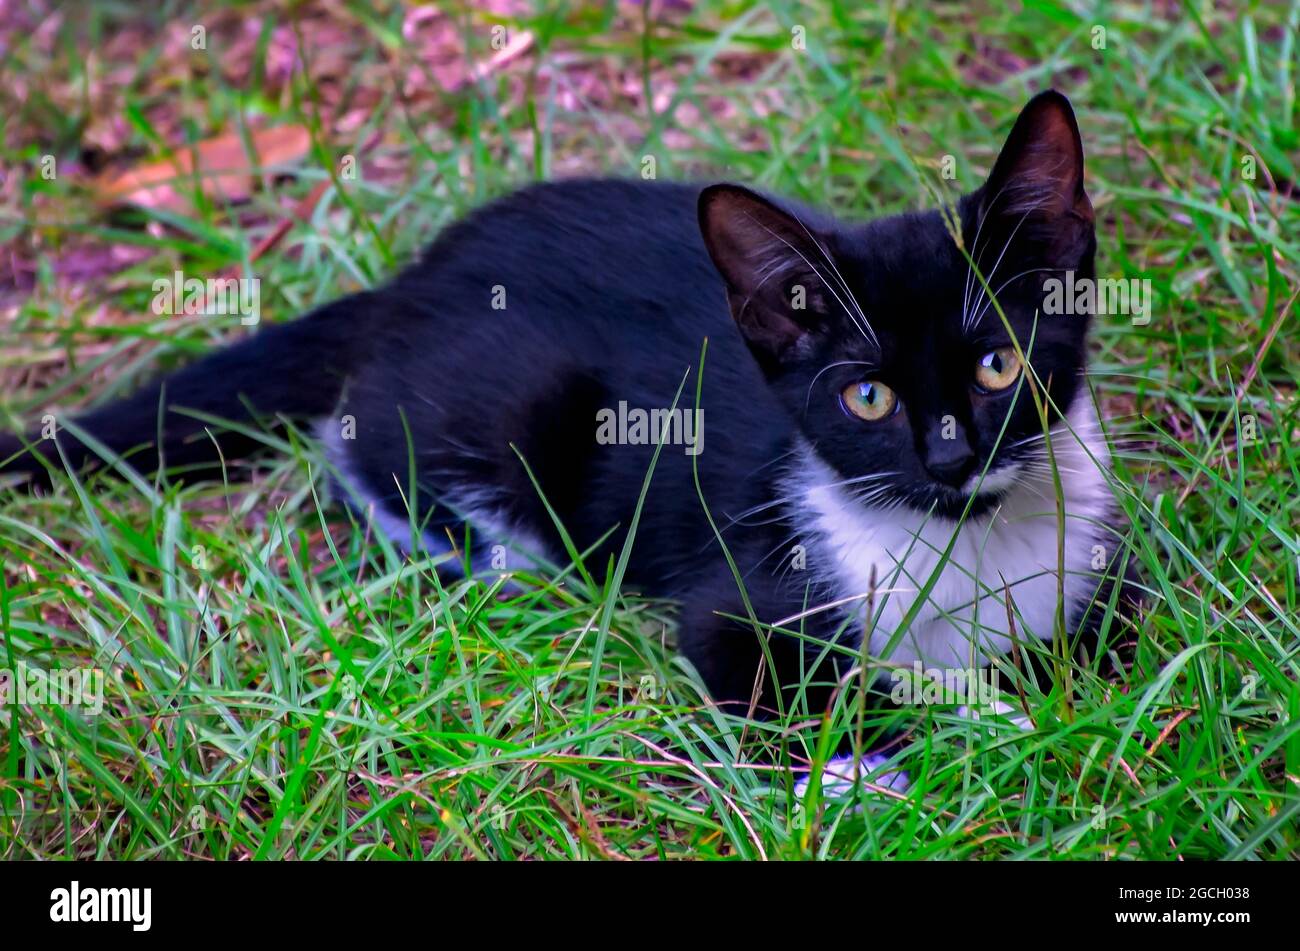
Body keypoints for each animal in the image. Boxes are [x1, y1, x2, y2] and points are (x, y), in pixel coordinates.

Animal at [0, 92, 1128, 769]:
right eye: (867, 400)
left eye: (998, 365)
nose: (950, 457)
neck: (959, 544)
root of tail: (413, 279)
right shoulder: (744, 593)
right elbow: (790, 689)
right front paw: (901, 753)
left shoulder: (1093, 564)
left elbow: (1101, 646)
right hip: (516, 402)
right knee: (372, 456)